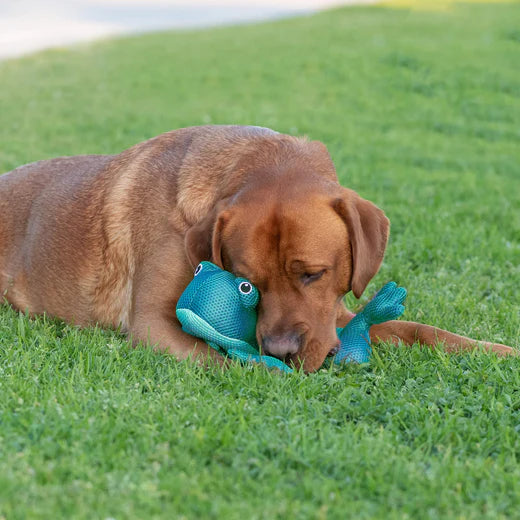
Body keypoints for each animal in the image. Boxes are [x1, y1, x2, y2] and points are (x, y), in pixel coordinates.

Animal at [0, 125, 512, 370]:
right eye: (246, 284)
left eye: (313, 274)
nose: (283, 350)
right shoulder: (153, 324)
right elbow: (237, 363)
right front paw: (270, 369)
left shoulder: (336, 313)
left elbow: (420, 329)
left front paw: (493, 349)